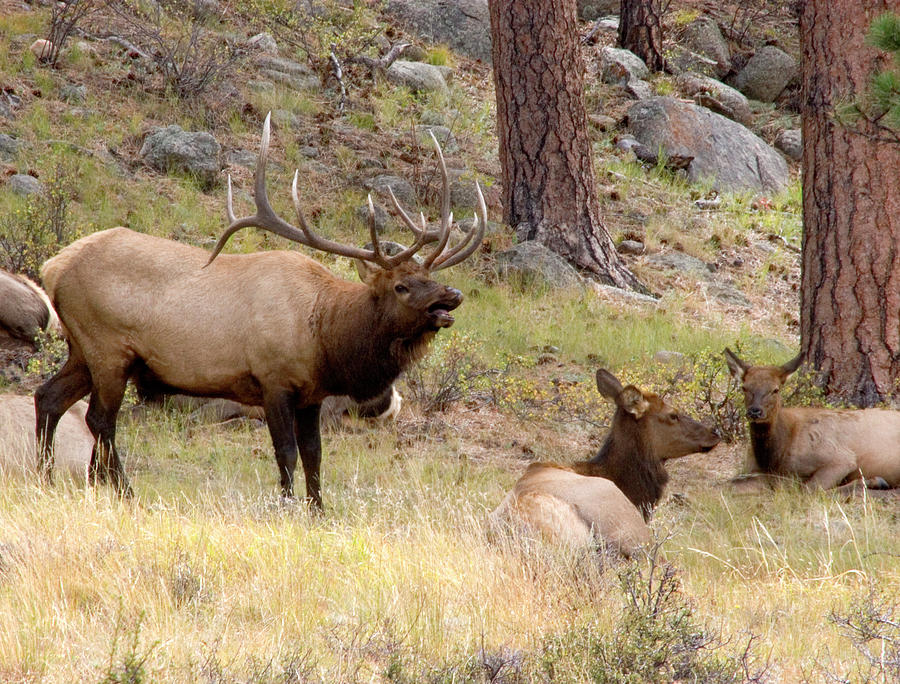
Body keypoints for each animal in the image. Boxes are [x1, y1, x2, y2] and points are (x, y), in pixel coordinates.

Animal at [35, 113, 486, 508]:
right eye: (401, 286)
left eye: (429, 275)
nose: (452, 295)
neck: (325, 337)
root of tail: (52, 267)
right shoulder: (273, 379)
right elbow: (285, 452)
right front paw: (287, 507)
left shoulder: (311, 393)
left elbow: (315, 455)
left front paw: (319, 510)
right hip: (108, 347)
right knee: (100, 420)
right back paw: (124, 491)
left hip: (83, 349)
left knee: (48, 397)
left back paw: (47, 477)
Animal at [724, 348, 900, 492]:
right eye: (744, 387)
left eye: (775, 389)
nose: (754, 411)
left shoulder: (841, 458)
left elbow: (809, 489)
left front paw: (875, 481)